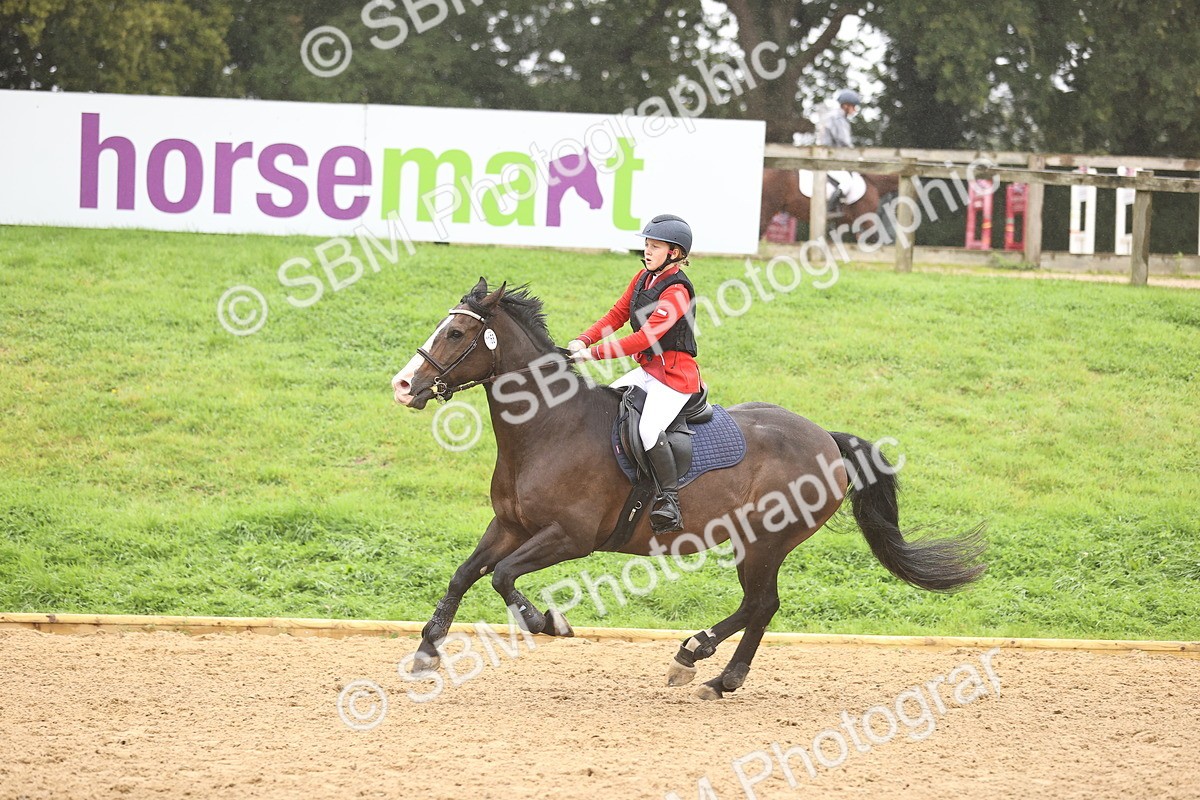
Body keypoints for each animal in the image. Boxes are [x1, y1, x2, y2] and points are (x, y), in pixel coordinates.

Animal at [391, 279, 986, 699]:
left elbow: (504, 578)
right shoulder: (511, 524)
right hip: (755, 542)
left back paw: (699, 661)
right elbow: (466, 573)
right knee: (760, 605)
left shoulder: (569, 537)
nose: (402, 386)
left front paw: (547, 622)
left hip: (765, 541)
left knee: (761, 603)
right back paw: (712, 671)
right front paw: (427, 650)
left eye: (457, 334)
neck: (548, 427)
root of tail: (827, 440)